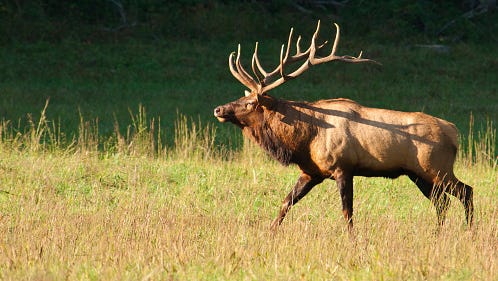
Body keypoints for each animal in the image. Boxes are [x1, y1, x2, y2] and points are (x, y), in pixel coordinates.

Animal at [212, 20, 472, 231]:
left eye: (249, 103)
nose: (218, 110)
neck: (305, 140)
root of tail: (454, 132)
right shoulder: (311, 171)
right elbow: (286, 202)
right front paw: (270, 231)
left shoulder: (343, 167)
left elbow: (347, 212)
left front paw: (353, 240)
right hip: (418, 174)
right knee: (442, 202)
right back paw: (439, 233)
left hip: (437, 168)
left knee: (465, 191)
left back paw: (469, 230)